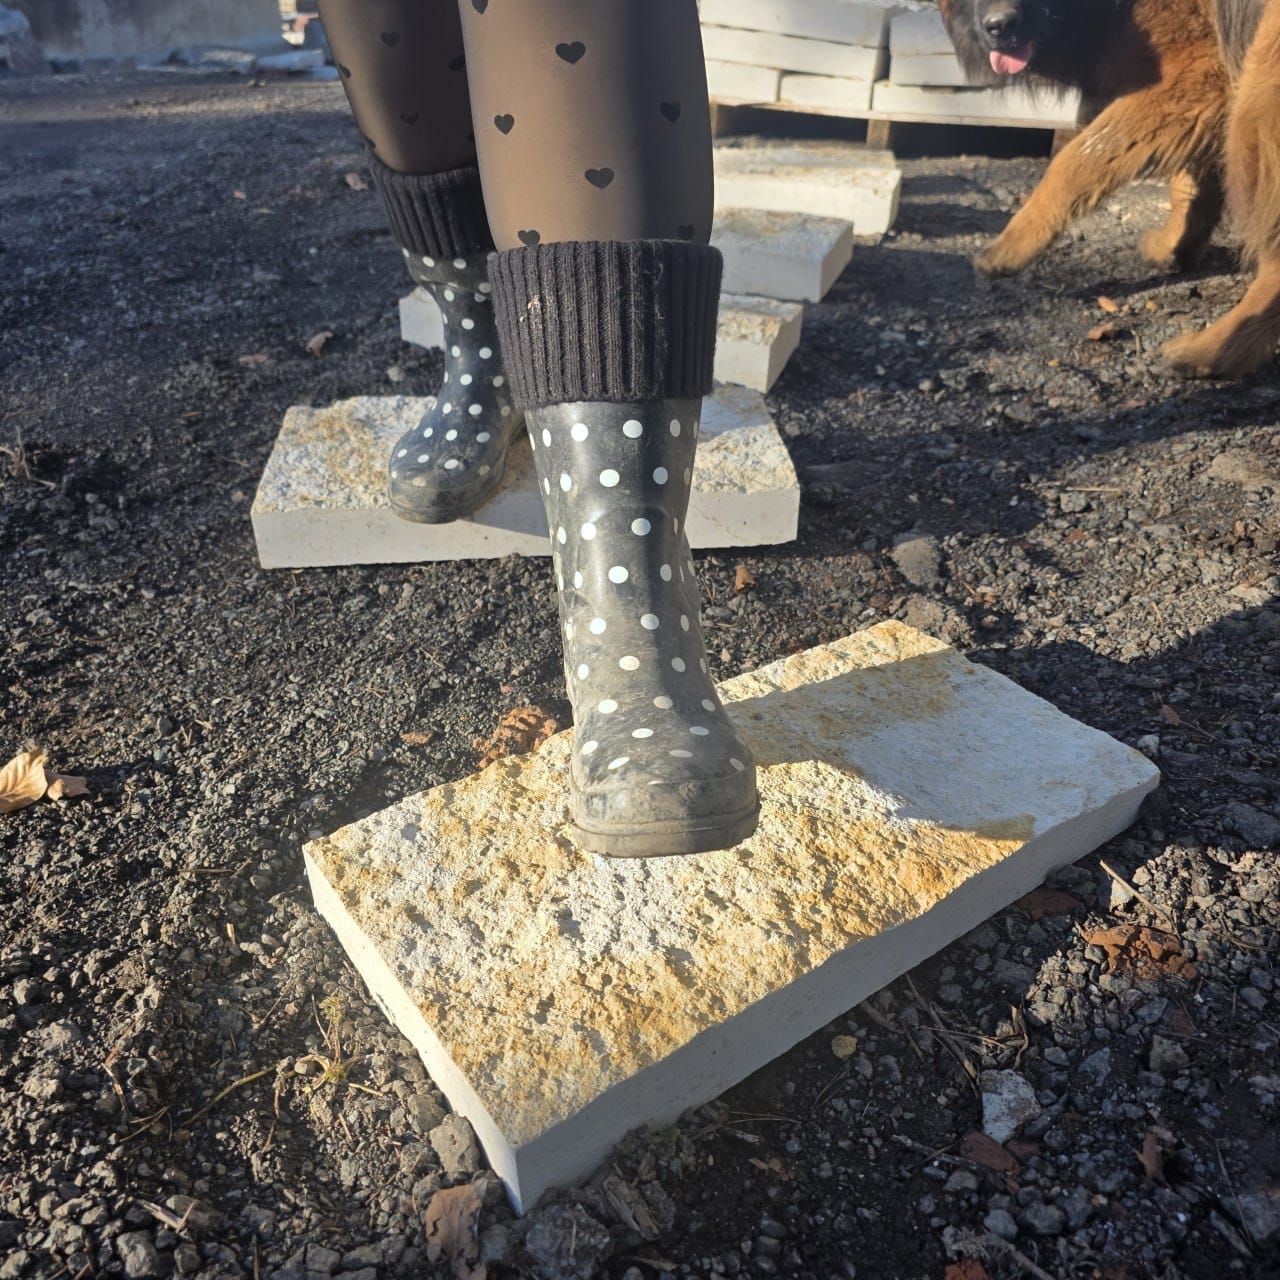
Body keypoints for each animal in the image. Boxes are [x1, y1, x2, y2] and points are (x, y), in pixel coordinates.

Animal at [939, 0, 1280, 378]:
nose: (1000, 26)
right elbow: (1188, 186)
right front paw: (1173, 245)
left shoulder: (1191, 78)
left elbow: (1077, 160)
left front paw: (1008, 248)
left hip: (1258, 94)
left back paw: (1216, 350)